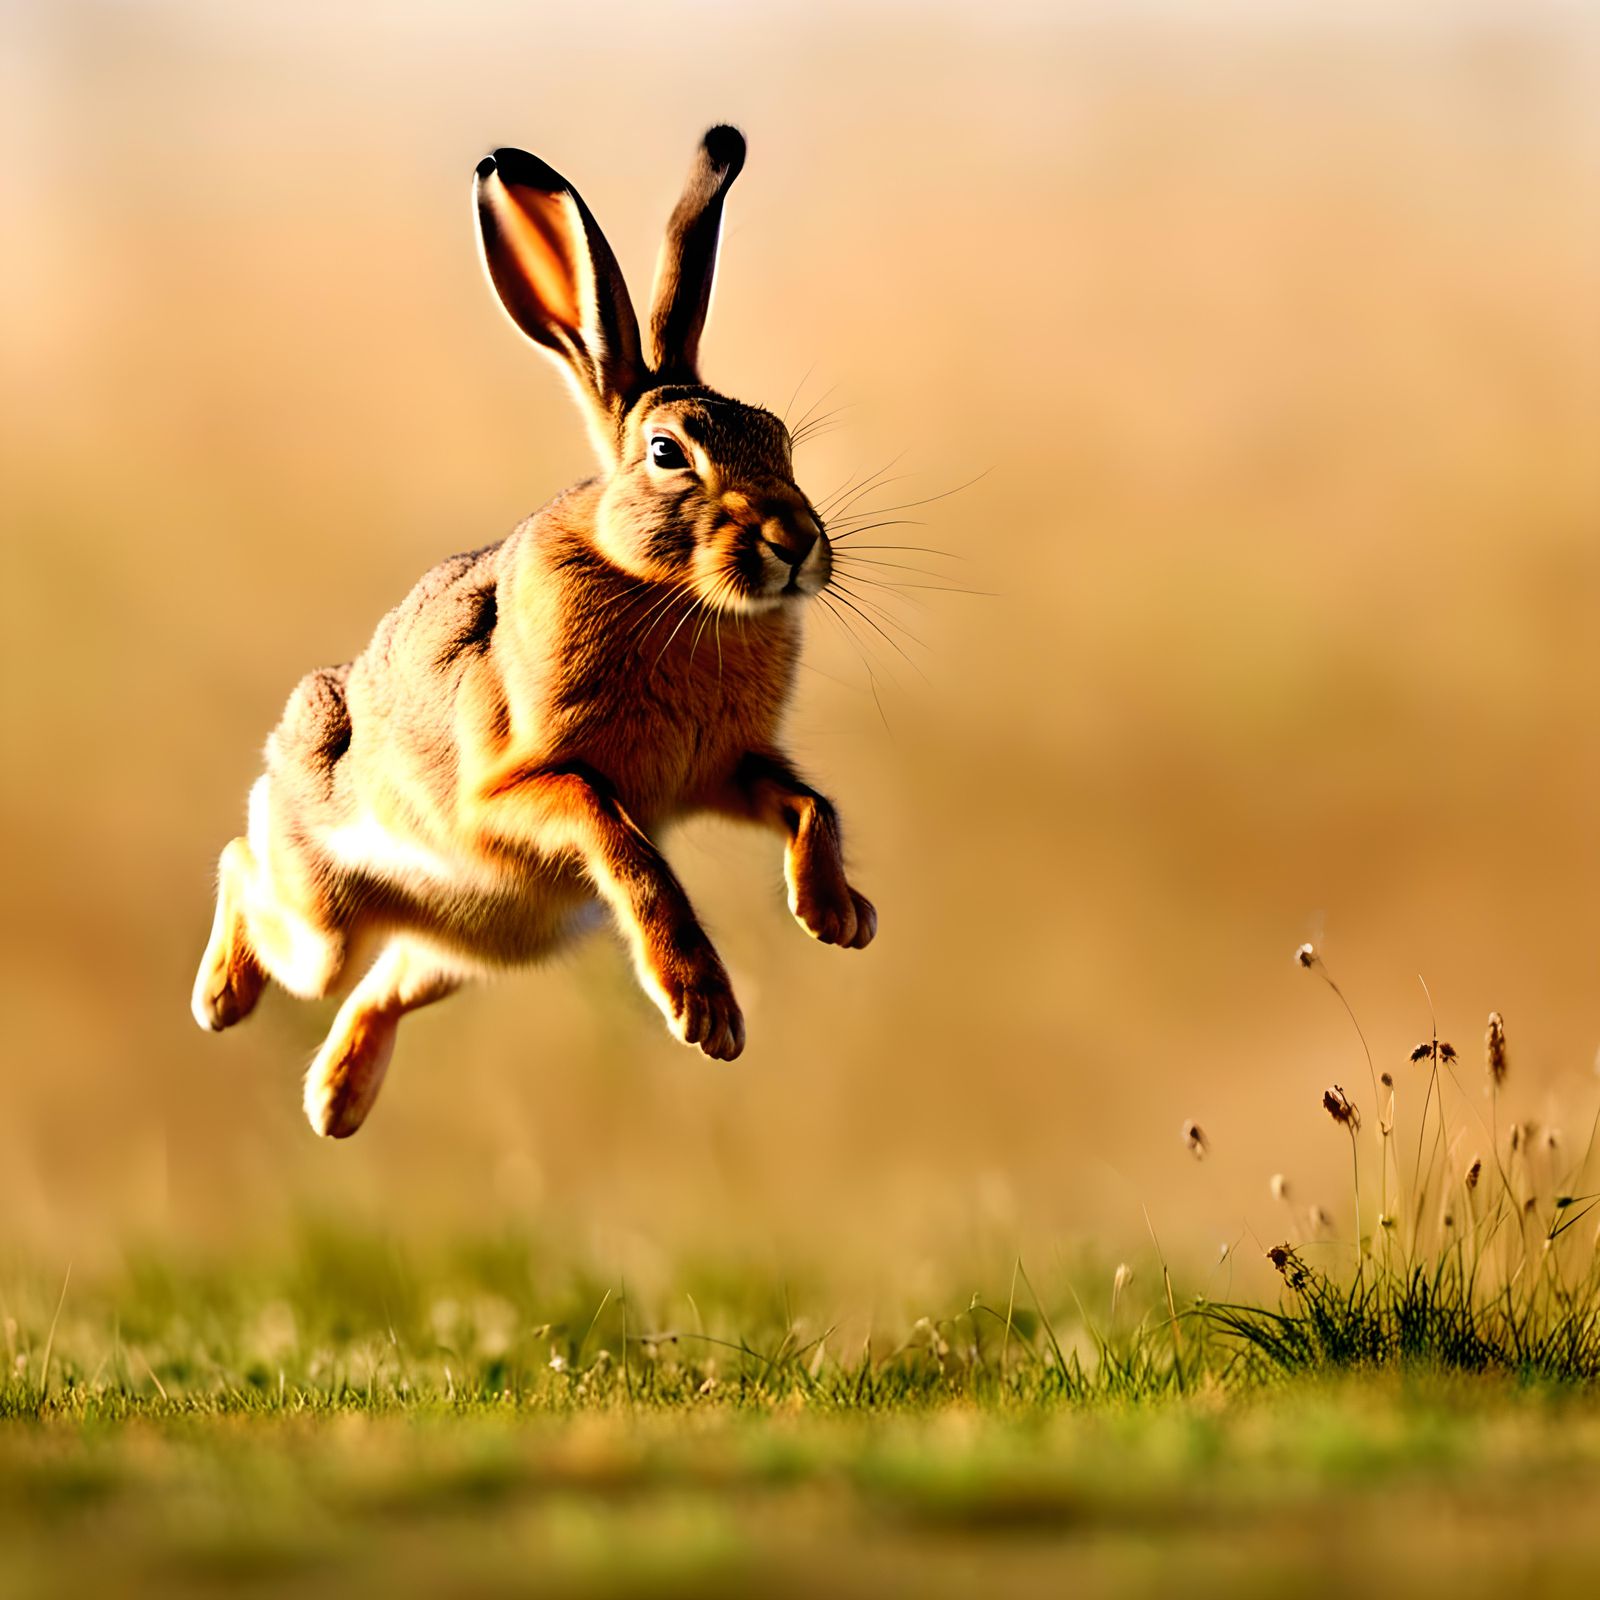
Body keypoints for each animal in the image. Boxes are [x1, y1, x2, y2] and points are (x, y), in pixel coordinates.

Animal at [191, 126, 877, 1139]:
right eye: (669, 453)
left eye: (781, 439)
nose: (794, 543)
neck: (667, 590)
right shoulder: (515, 788)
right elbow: (622, 839)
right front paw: (703, 1011)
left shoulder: (723, 768)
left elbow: (808, 804)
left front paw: (838, 917)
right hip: (327, 913)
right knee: (249, 872)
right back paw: (223, 999)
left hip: (478, 944)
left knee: (384, 984)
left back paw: (337, 1101)